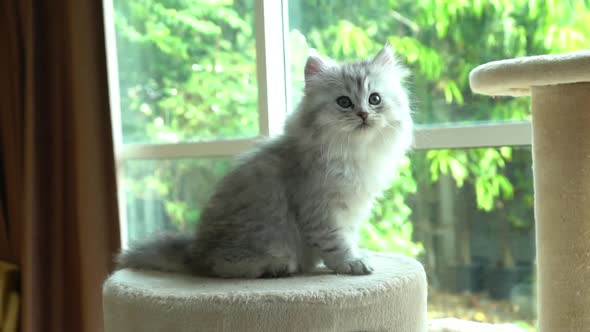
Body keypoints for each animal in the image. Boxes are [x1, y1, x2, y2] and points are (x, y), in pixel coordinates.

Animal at [114, 44, 412, 278]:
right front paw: (351, 263)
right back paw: (277, 268)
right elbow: (336, 243)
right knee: (221, 268)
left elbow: (348, 237)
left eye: (375, 99)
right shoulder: (320, 209)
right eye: (344, 102)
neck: (353, 152)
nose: (363, 114)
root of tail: (194, 250)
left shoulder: (351, 210)